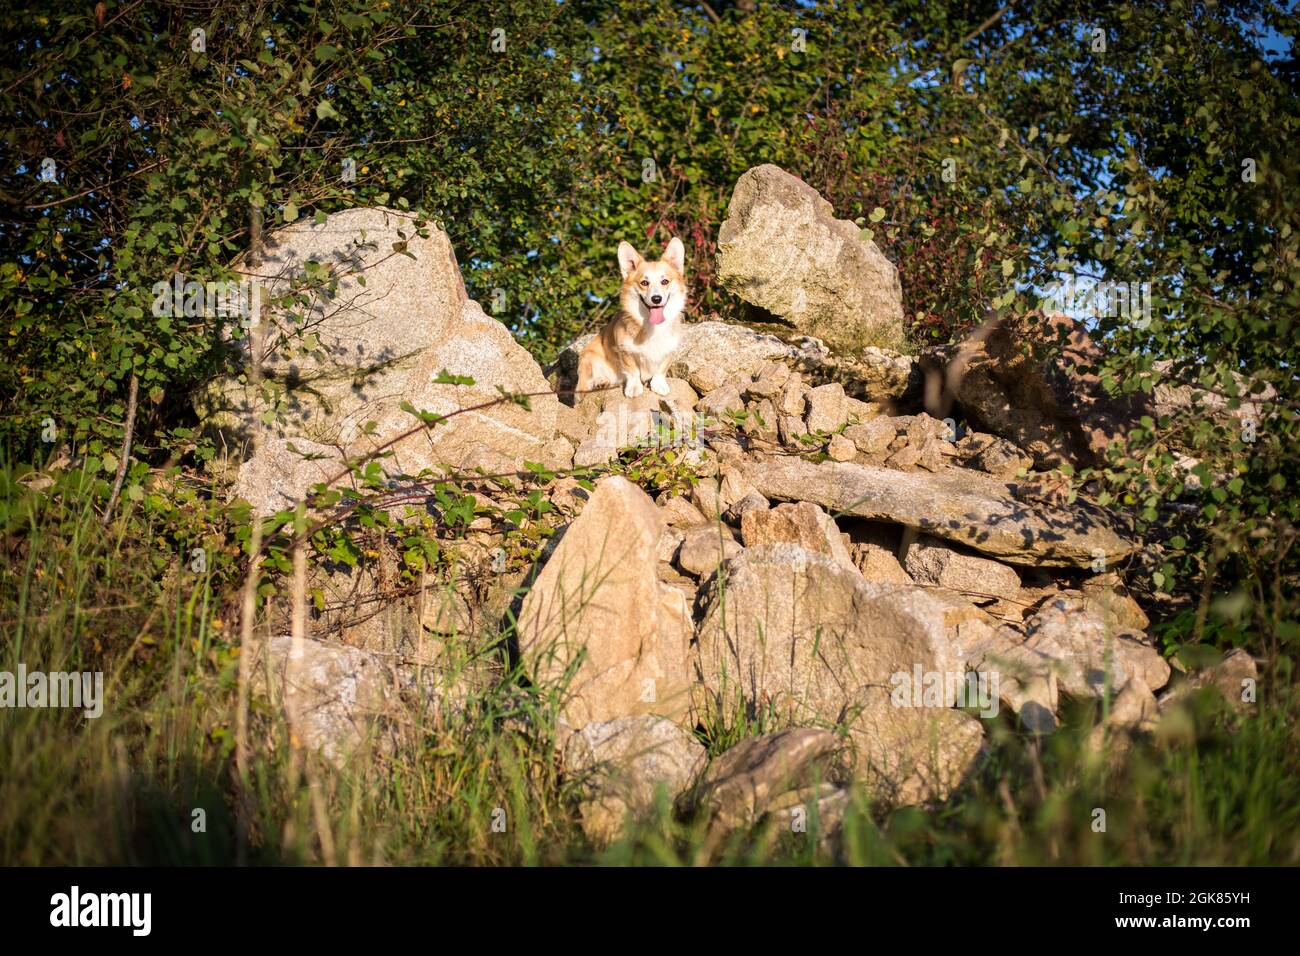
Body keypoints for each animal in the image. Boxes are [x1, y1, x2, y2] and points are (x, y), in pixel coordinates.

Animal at [574, 238, 686, 398]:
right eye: (644, 282)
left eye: (665, 281)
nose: (656, 299)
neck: (652, 327)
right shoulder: (625, 351)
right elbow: (632, 371)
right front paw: (634, 388)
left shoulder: (669, 350)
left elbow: (661, 369)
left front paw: (658, 385)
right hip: (588, 359)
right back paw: (600, 382)